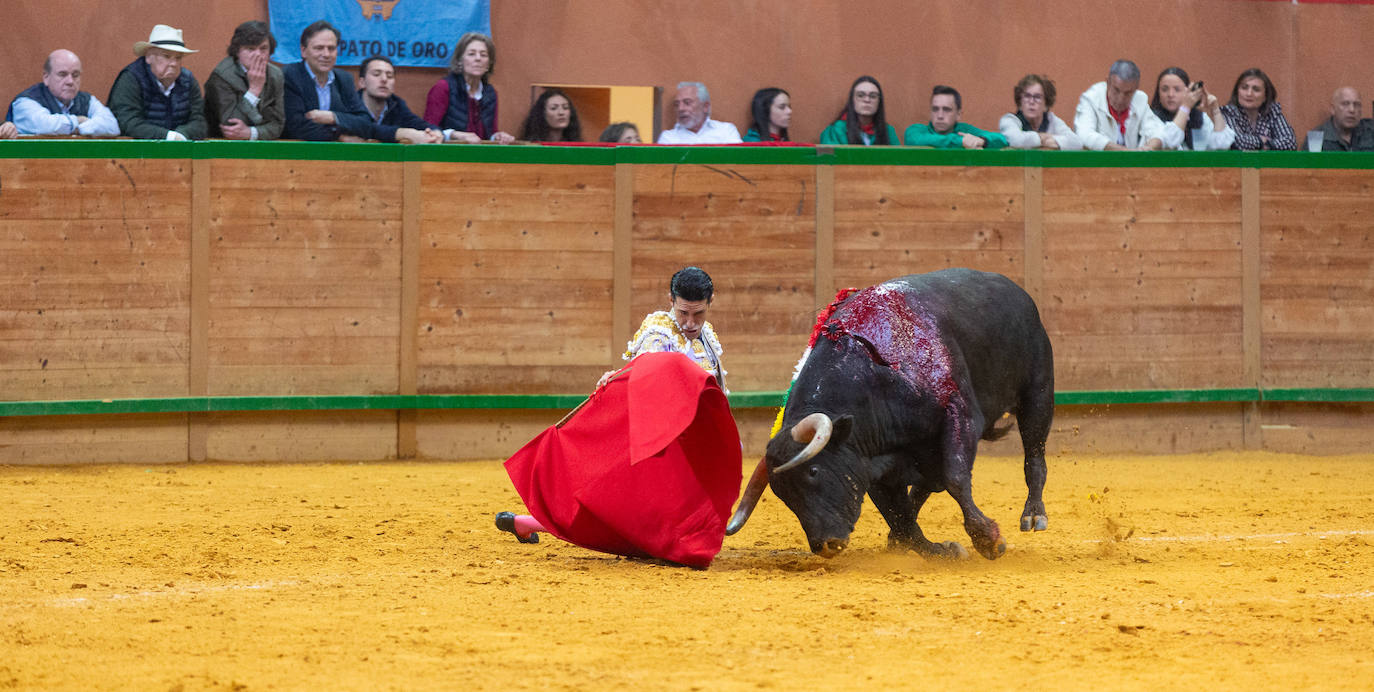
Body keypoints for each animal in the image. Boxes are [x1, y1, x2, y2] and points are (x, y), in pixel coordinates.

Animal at [730, 267, 1049, 560]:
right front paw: (939, 550)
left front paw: (988, 540)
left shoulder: (960, 415)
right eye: (782, 494)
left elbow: (956, 478)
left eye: (813, 471)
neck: (876, 374)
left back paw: (1033, 515)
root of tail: (1013, 288)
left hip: (1037, 393)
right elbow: (899, 515)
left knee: (1034, 455)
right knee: (923, 488)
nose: (825, 545)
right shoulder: (870, 461)